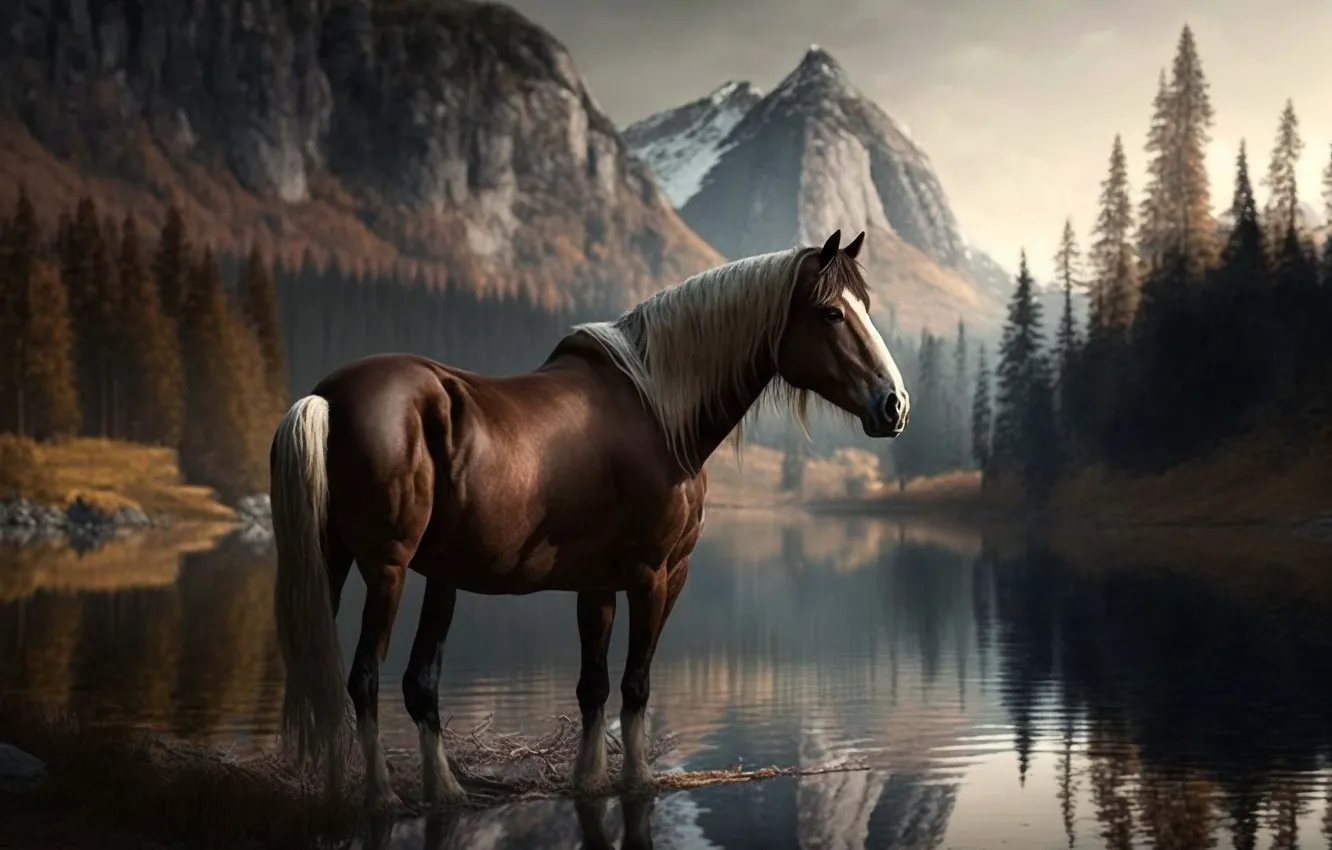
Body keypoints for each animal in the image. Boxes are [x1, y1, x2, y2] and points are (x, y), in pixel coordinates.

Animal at [269, 228, 910, 811]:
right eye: (831, 313)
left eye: (865, 307)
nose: (895, 405)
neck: (657, 411)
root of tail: (328, 398)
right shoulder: (658, 575)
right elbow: (634, 684)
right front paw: (635, 780)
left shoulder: (596, 583)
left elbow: (593, 686)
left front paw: (588, 780)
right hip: (387, 568)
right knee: (361, 677)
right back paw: (378, 795)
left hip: (349, 566)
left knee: (361, 676)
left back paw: (397, 789)